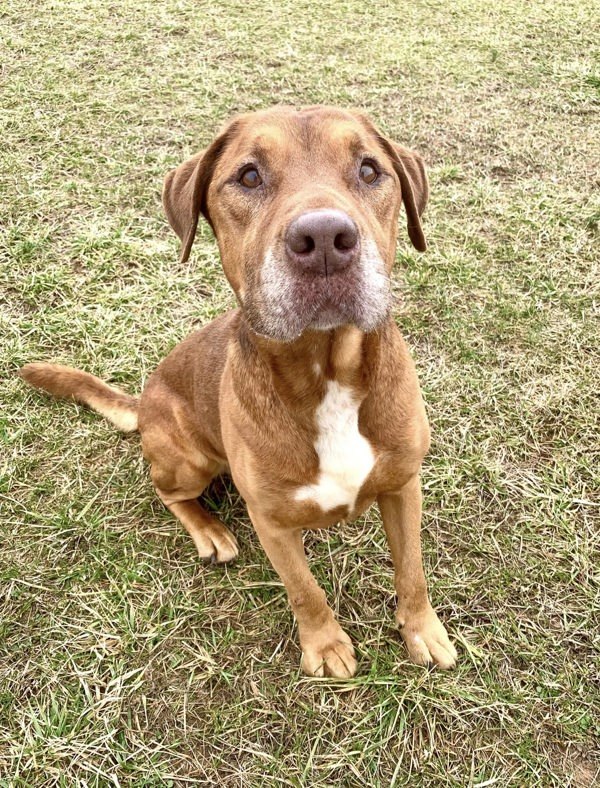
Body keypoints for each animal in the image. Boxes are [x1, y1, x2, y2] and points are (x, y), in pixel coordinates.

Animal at [21, 106, 458, 676]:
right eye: (248, 176)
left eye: (368, 170)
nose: (324, 239)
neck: (326, 371)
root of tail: (145, 398)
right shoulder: (271, 523)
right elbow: (305, 591)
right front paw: (325, 645)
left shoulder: (403, 485)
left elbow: (412, 570)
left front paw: (422, 629)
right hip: (189, 460)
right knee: (165, 490)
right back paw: (208, 529)